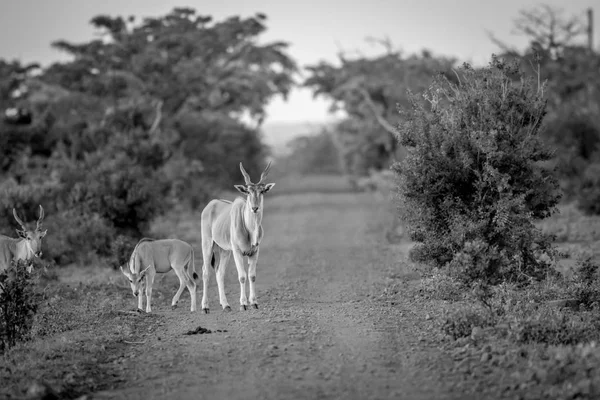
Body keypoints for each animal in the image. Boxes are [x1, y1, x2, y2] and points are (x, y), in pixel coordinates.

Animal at [202, 162, 276, 312]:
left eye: (262, 191)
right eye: (248, 191)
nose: (255, 208)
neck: (250, 230)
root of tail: (210, 205)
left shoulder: (255, 252)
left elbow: (252, 276)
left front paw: (254, 302)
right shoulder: (237, 251)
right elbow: (242, 276)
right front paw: (243, 303)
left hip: (224, 250)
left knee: (219, 273)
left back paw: (226, 305)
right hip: (207, 244)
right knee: (206, 272)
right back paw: (205, 306)